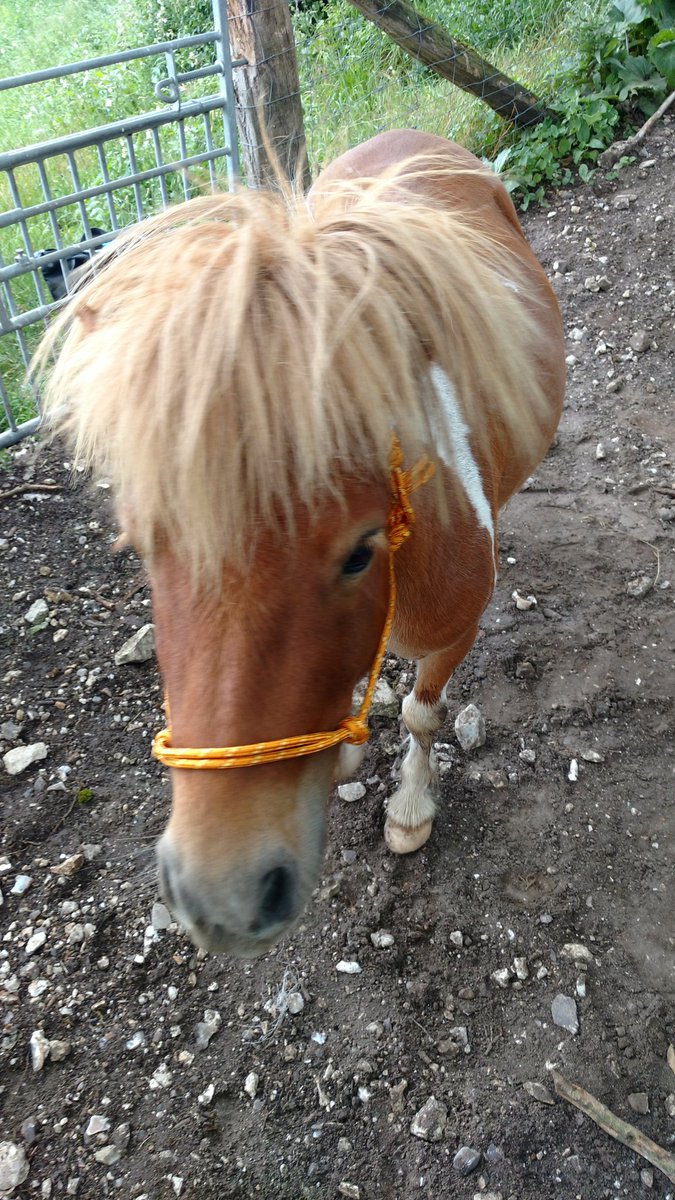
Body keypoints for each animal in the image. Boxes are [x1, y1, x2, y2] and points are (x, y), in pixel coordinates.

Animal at [40, 129, 565, 957]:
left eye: (358, 551)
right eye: (143, 547)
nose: (220, 900)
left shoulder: (452, 635)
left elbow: (420, 715)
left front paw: (409, 811)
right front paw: (343, 742)